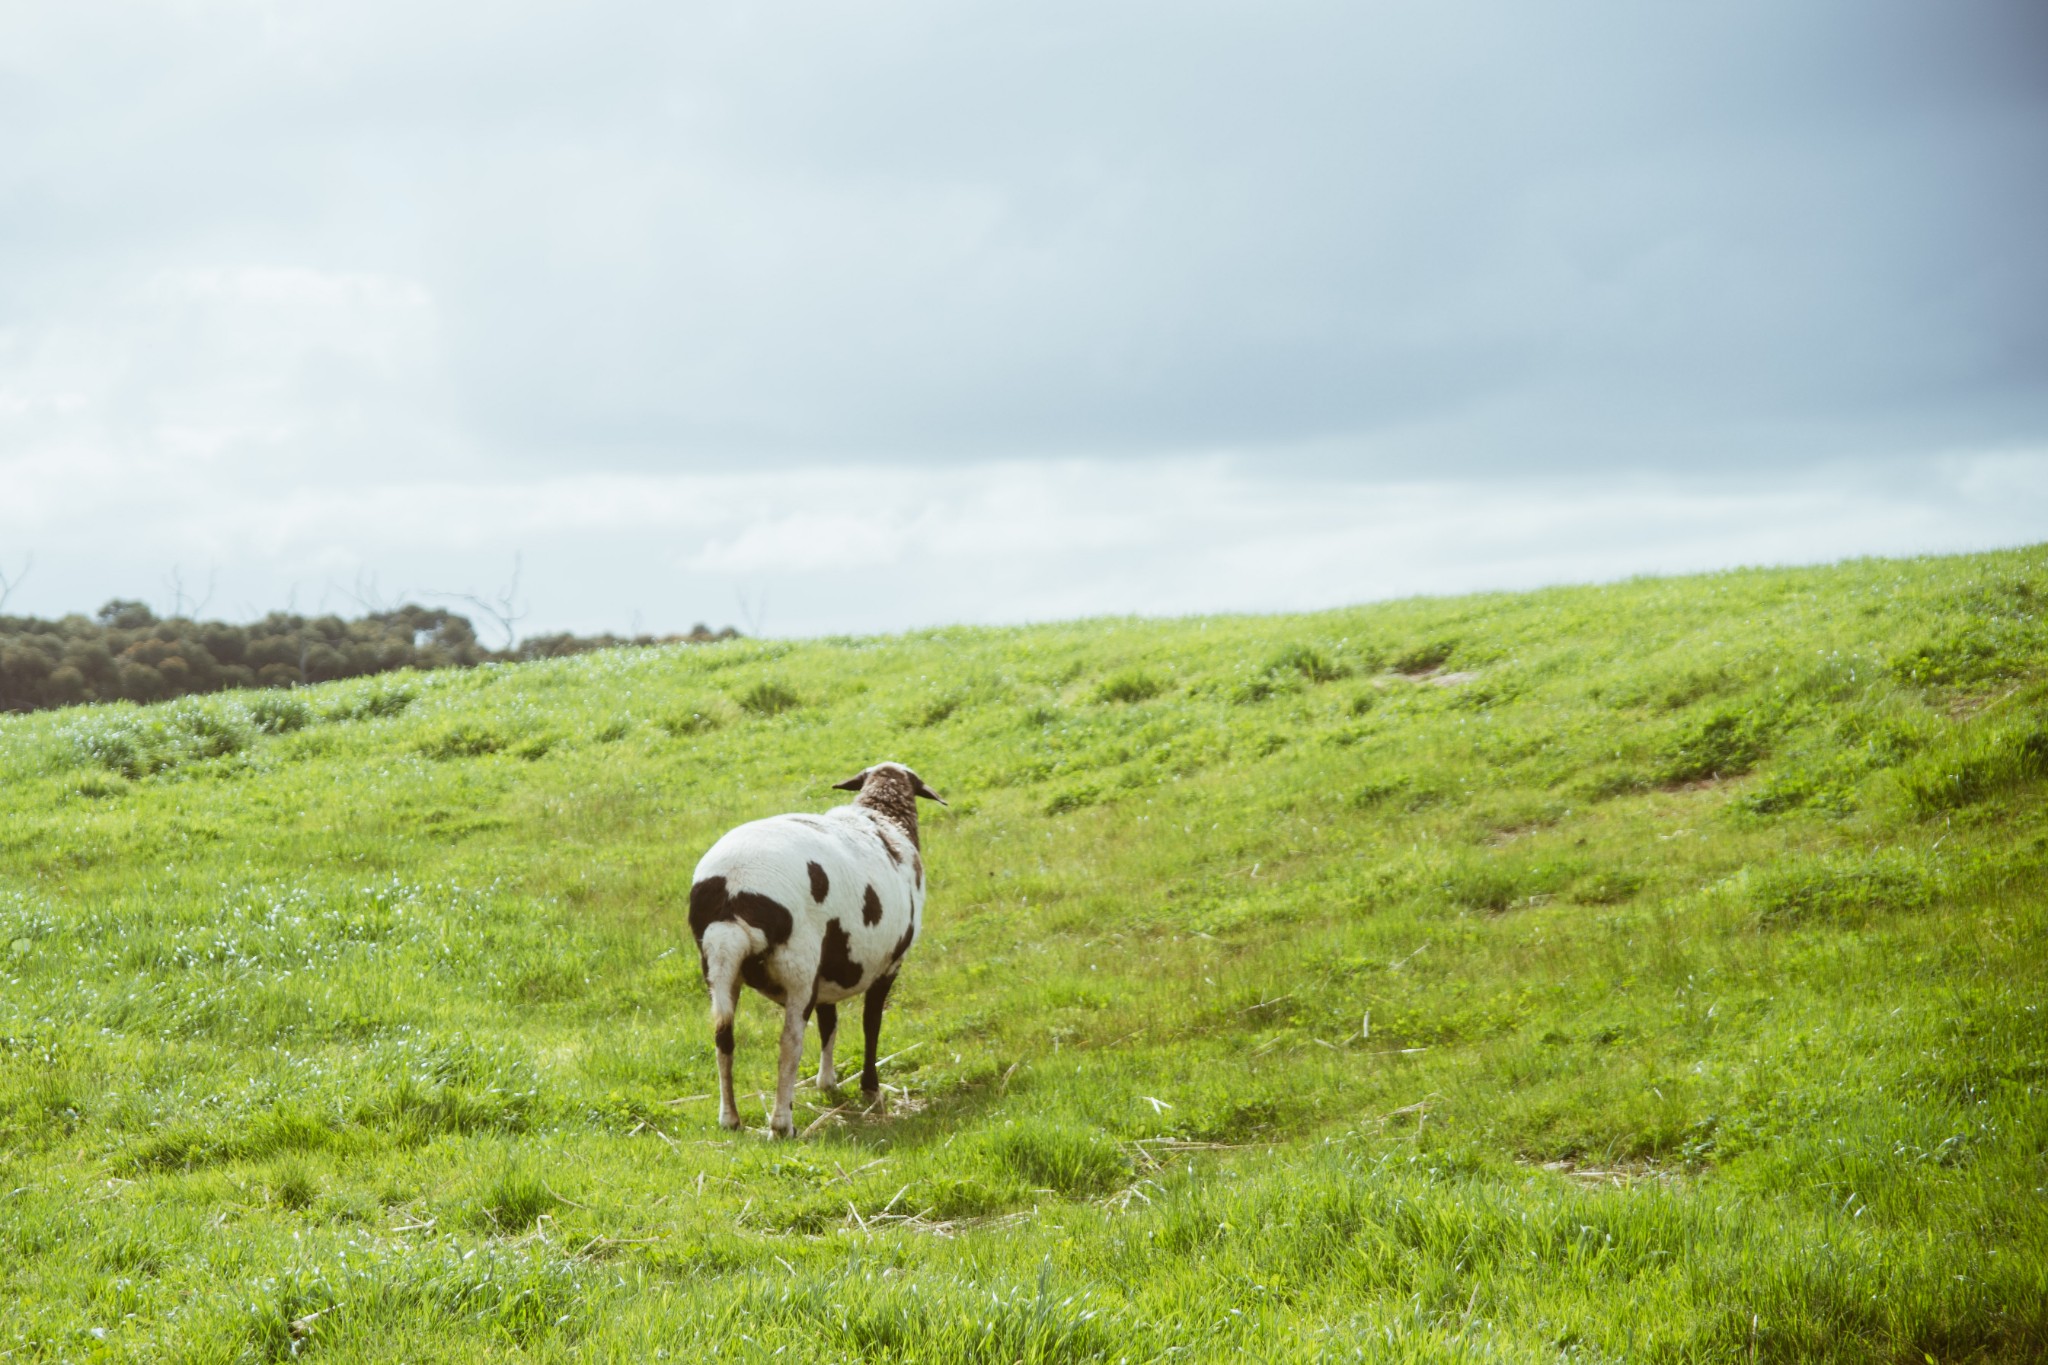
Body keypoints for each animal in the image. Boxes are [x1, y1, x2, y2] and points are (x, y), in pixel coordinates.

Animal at [688, 765, 942, 1137]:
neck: (882, 817)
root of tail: (734, 894)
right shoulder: (888, 965)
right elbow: (871, 1023)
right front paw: (870, 1088)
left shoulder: (827, 974)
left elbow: (829, 1022)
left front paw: (828, 1083)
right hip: (798, 965)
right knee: (789, 1042)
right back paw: (782, 1125)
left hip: (718, 966)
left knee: (723, 1036)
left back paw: (730, 1119)